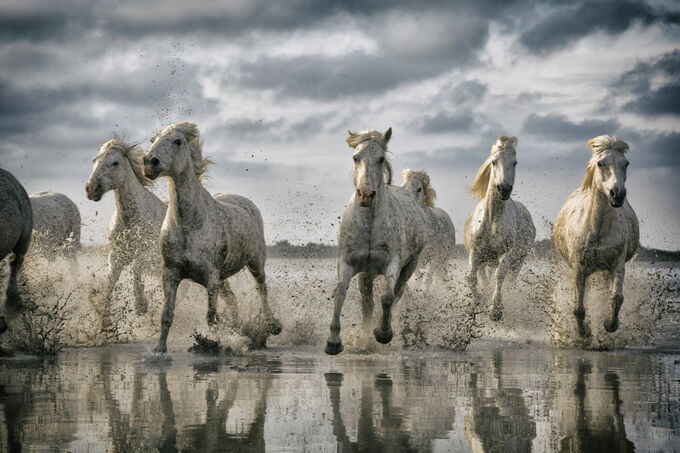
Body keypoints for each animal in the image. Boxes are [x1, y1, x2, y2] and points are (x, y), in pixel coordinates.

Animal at [86, 139, 168, 327]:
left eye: (115, 163)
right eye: (94, 160)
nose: (91, 189)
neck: (132, 219)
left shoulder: (151, 255)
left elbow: (136, 266)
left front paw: (141, 305)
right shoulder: (116, 256)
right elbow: (110, 281)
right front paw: (104, 320)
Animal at [142, 122, 281, 353]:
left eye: (177, 141)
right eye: (153, 140)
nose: (149, 163)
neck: (188, 224)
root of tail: (246, 202)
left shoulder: (211, 277)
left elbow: (211, 318)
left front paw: (216, 344)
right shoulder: (170, 274)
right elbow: (166, 316)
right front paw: (159, 350)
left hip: (255, 263)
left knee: (261, 289)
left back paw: (273, 325)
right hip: (225, 277)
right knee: (233, 299)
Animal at [325, 128, 428, 355]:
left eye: (381, 159)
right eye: (356, 157)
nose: (366, 195)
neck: (370, 224)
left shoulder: (392, 265)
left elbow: (387, 298)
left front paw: (383, 333)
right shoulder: (347, 263)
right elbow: (340, 294)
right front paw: (333, 341)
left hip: (409, 265)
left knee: (396, 295)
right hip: (366, 273)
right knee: (367, 303)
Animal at [464, 136, 535, 321]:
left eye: (515, 162)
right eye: (494, 162)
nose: (504, 189)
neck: (491, 221)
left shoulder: (506, 254)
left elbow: (500, 276)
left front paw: (495, 310)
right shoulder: (476, 253)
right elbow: (471, 278)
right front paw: (479, 301)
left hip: (518, 261)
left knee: (510, 280)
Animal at [553, 135, 639, 337]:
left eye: (626, 163)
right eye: (600, 163)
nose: (618, 194)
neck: (597, 229)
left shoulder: (617, 264)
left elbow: (616, 297)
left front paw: (610, 325)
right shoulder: (579, 268)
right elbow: (578, 308)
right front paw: (584, 333)